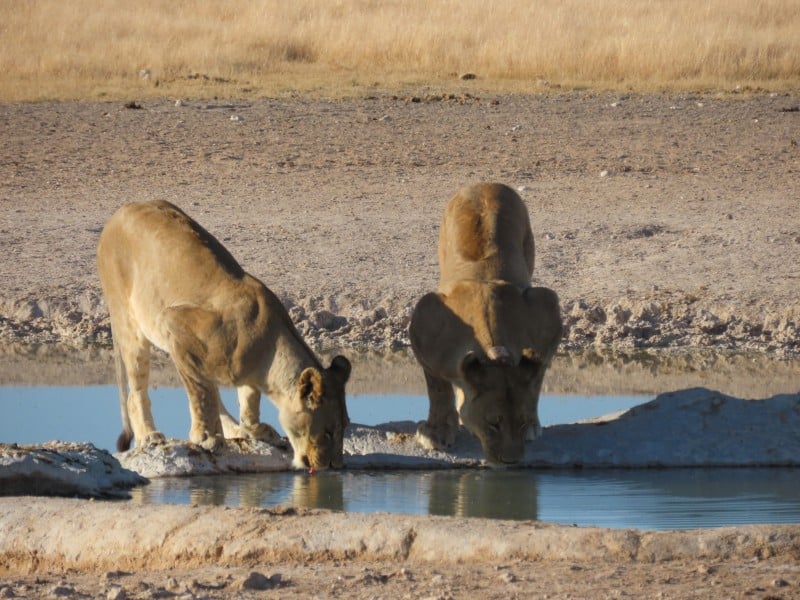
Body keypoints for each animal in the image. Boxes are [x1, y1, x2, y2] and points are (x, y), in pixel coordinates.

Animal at [96, 200, 351, 470]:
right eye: (328, 432)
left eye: (344, 427)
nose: (335, 466)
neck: (270, 352)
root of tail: (122, 210)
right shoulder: (174, 325)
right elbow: (201, 394)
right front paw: (206, 437)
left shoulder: (243, 371)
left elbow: (247, 399)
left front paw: (253, 429)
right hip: (128, 322)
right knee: (137, 392)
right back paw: (149, 435)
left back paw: (234, 430)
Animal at [409, 183, 562, 465]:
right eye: (493, 423)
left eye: (520, 422)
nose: (511, 461)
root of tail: (484, 184)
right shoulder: (423, 323)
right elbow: (437, 387)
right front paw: (437, 432)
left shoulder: (546, 310)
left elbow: (536, 378)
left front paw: (533, 424)